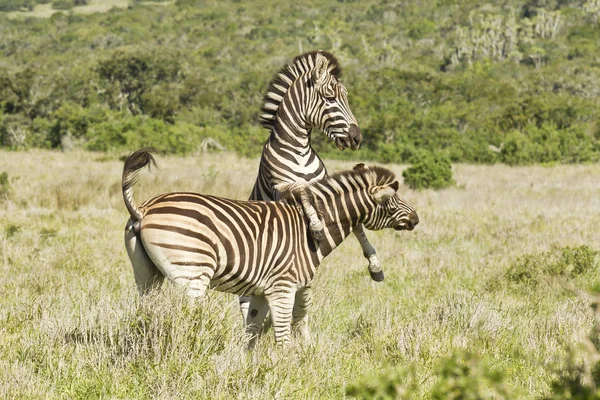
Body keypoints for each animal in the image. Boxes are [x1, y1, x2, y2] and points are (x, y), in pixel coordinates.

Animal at [124, 149, 420, 344]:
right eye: (392, 201)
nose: (416, 218)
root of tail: (143, 209)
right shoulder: (283, 287)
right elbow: (283, 336)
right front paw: (288, 371)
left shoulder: (260, 291)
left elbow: (252, 333)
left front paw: (247, 367)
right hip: (192, 273)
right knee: (185, 319)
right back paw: (190, 348)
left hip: (146, 275)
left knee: (146, 313)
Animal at [243, 50, 384, 324]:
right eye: (329, 98)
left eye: (346, 97)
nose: (356, 138)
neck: (299, 149)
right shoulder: (280, 188)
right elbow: (301, 191)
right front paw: (317, 227)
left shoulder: (329, 190)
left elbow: (358, 226)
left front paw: (375, 265)